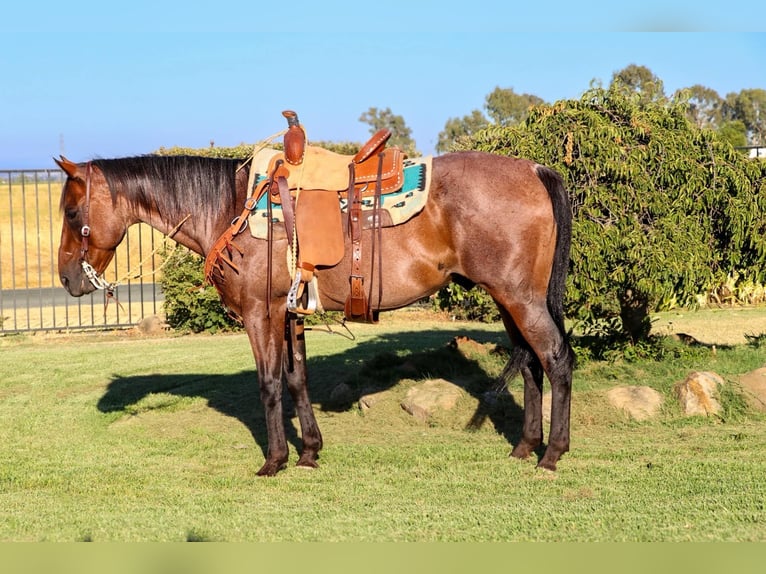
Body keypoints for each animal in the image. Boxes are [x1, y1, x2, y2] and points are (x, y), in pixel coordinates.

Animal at [55, 148, 575, 476]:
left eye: (70, 212)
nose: (66, 279)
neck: (230, 208)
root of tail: (534, 169)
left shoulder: (259, 314)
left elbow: (268, 383)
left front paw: (275, 461)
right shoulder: (290, 315)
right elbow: (296, 379)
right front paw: (309, 452)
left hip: (520, 299)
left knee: (556, 360)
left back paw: (552, 454)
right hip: (509, 300)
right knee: (530, 364)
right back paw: (524, 447)